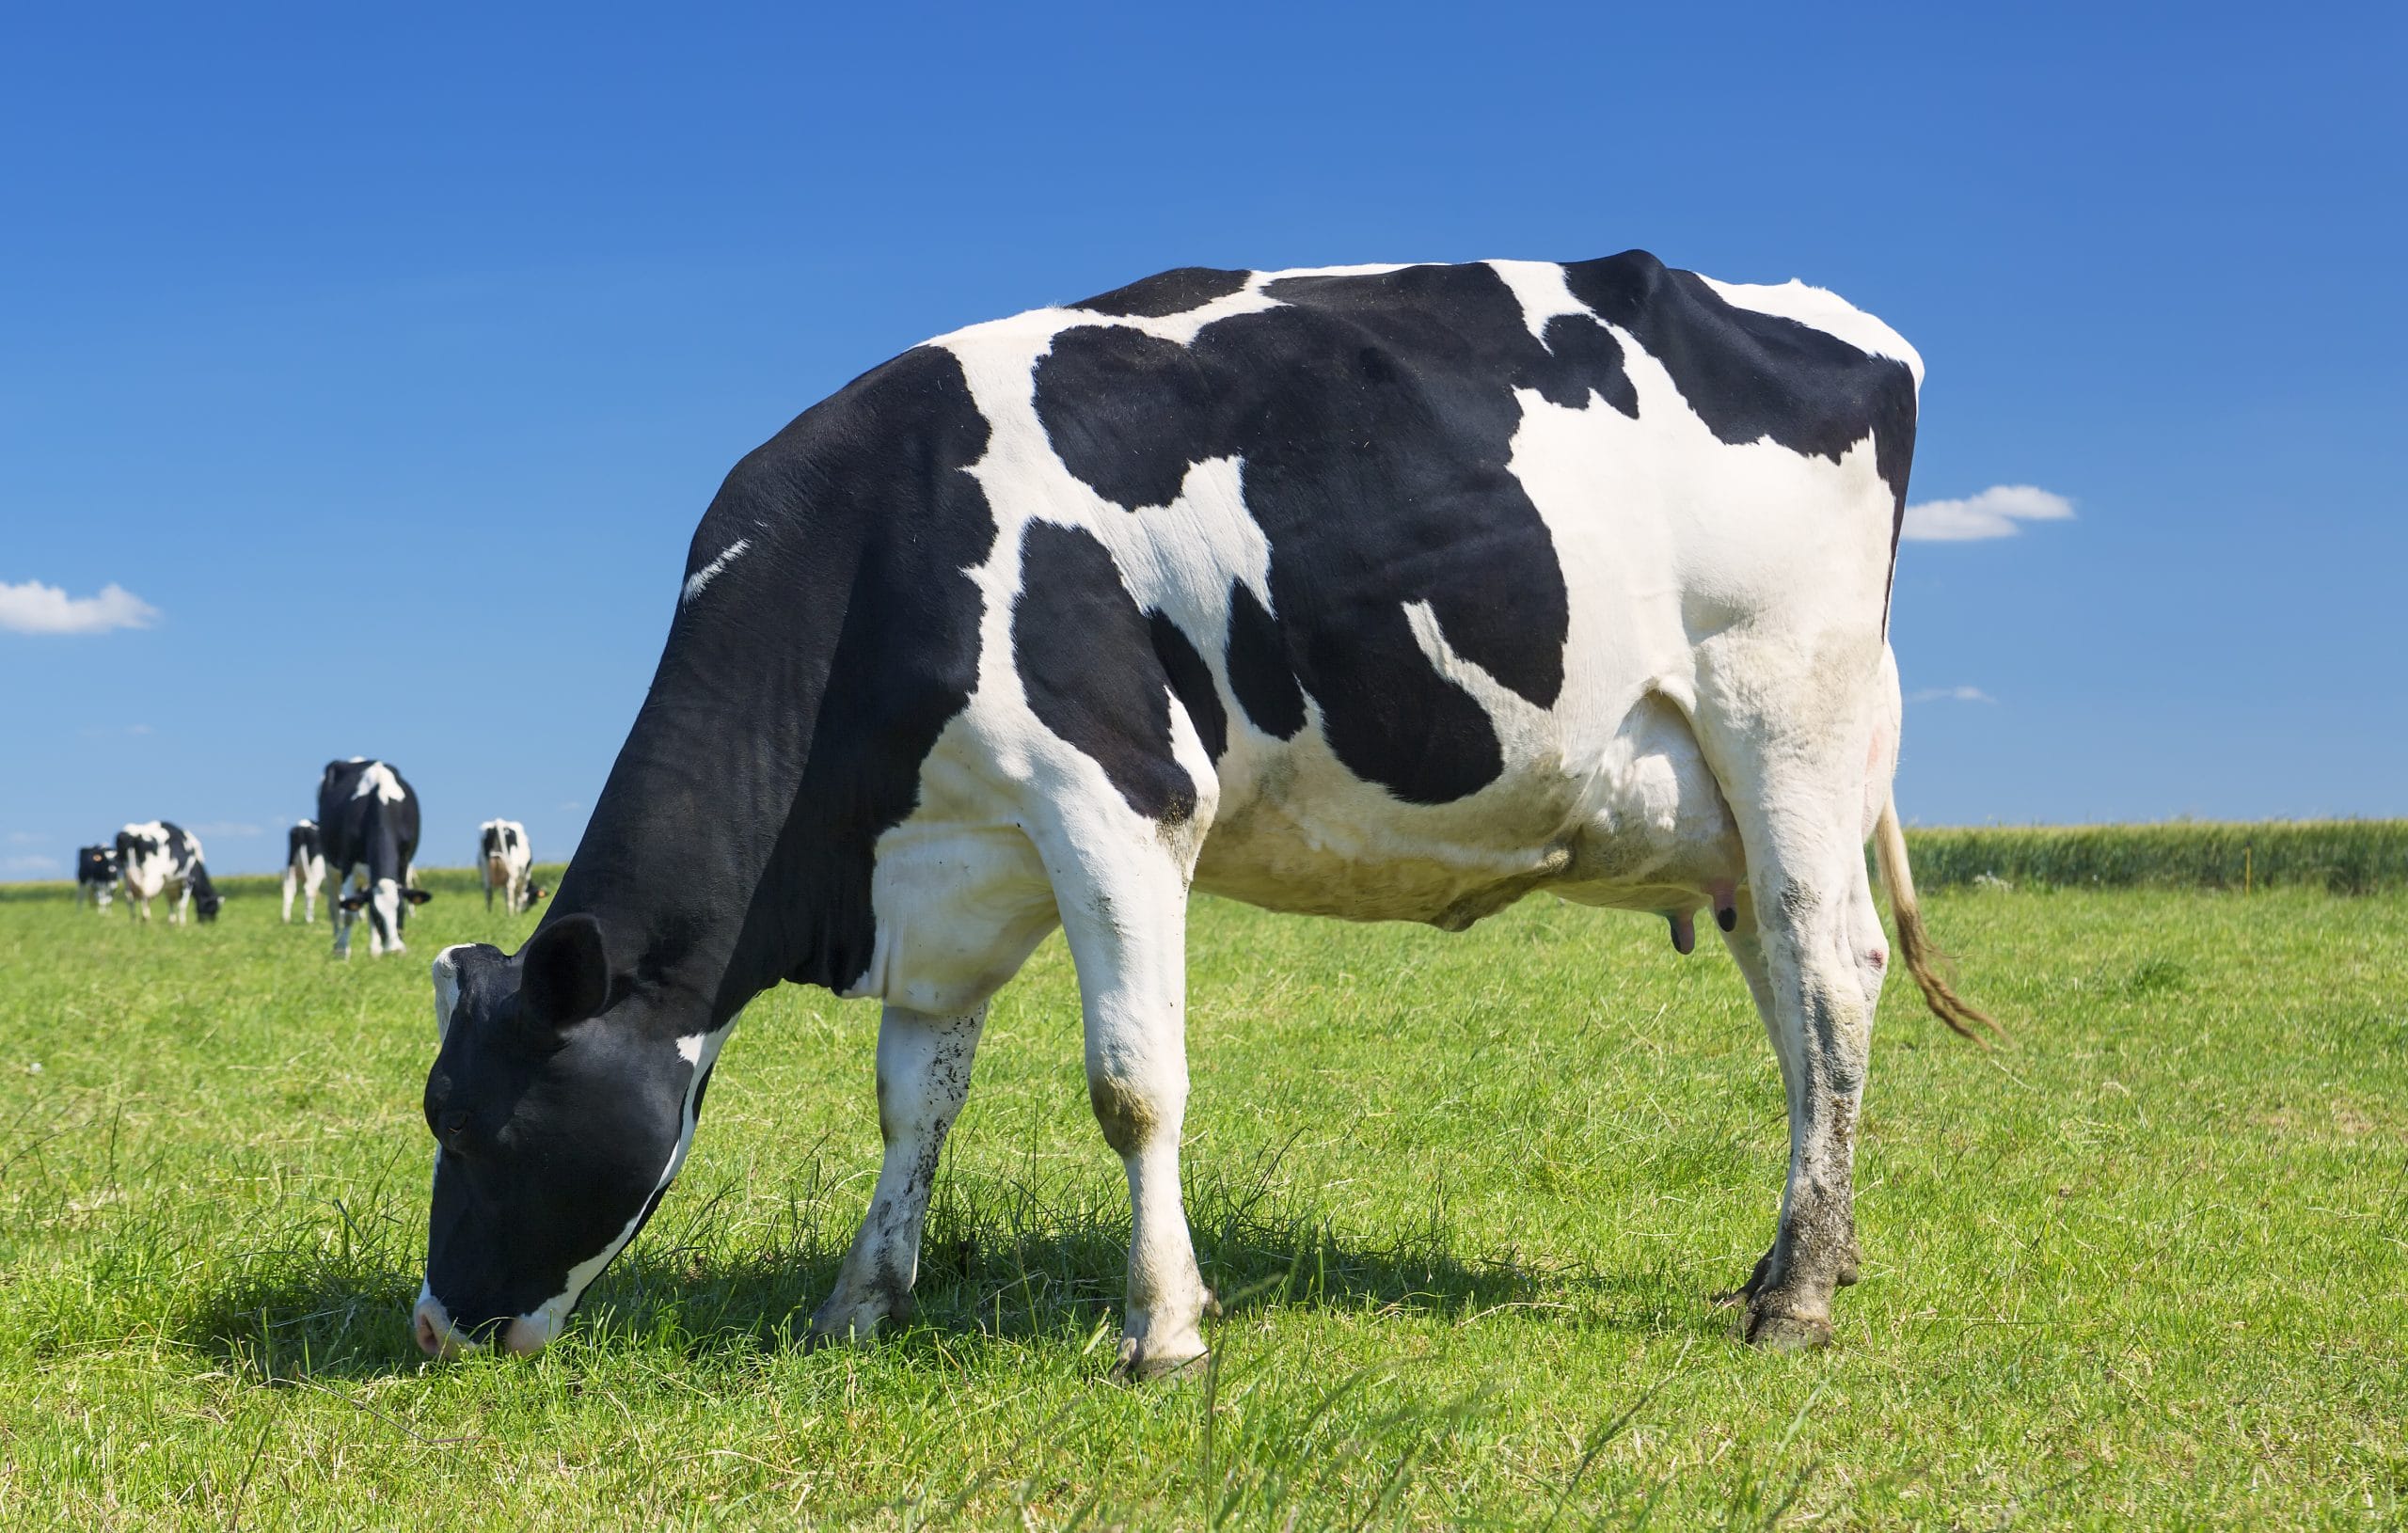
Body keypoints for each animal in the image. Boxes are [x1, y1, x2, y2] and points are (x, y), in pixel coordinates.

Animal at [317, 755, 431, 957]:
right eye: (378, 914)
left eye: (401, 910)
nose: (394, 950)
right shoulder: (347, 864)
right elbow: (349, 914)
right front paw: (343, 950)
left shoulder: (403, 863)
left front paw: (376, 950)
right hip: (330, 864)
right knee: (334, 905)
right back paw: (337, 941)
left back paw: (374, 948)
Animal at [419, 251, 1993, 1367]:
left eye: (478, 1127)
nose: (433, 1326)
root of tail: (1830, 317)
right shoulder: (948, 861)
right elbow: (912, 1100)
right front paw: (859, 1302)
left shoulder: (1115, 802)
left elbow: (1132, 1085)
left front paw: (1162, 1328)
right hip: (1730, 806)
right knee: (1791, 999)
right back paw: (1806, 1250)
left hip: (1783, 719)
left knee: (1832, 974)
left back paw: (1796, 1298)